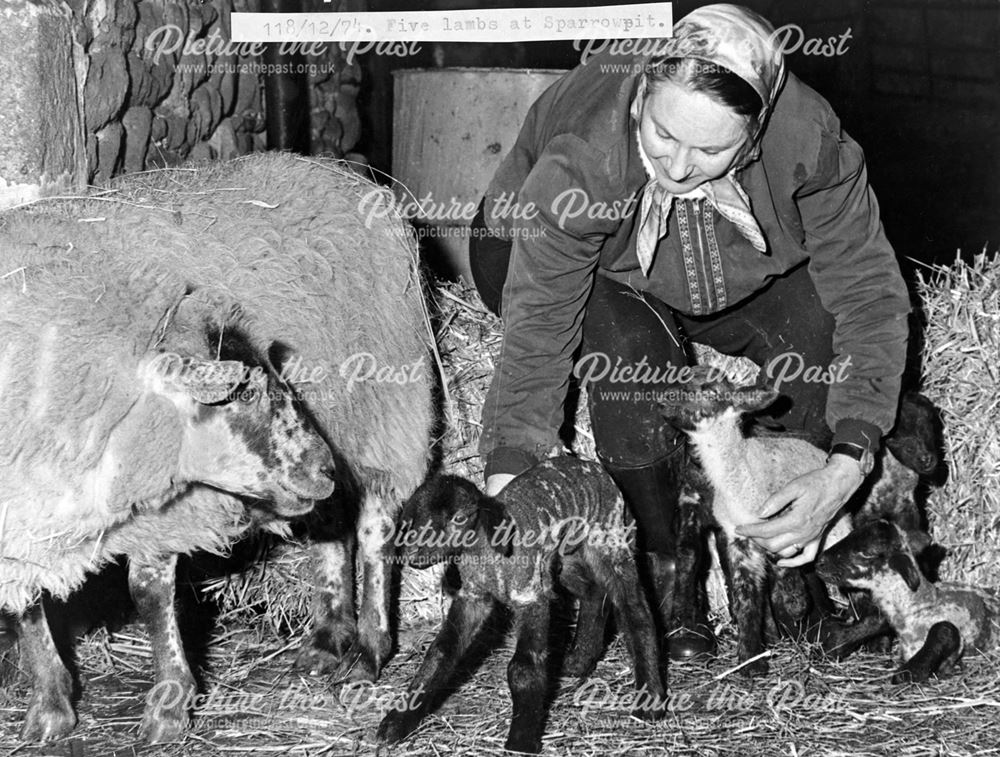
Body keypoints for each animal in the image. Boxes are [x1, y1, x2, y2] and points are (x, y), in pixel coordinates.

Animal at [0, 247, 336, 740]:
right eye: (245, 392)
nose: (326, 468)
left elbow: (149, 592)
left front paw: (167, 710)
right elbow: (24, 599)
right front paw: (50, 706)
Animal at [378, 458, 668, 752]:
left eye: (459, 518)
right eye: (416, 519)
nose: (415, 556)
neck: (487, 555)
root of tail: (591, 465)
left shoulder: (530, 595)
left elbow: (524, 668)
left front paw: (521, 740)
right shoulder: (473, 597)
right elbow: (440, 652)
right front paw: (398, 722)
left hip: (609, 538)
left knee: (635, 609)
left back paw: (650, 699)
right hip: (563, 557)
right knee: (593, 592)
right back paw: (579, 660)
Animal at [656, 366, 852, 672]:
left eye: (711, 390)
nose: (664, 397)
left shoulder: (786, 525)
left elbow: (785, 573)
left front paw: (794, 605)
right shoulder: (737, 539)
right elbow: (745, 594)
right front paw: (751, 658)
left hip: (836, 530)